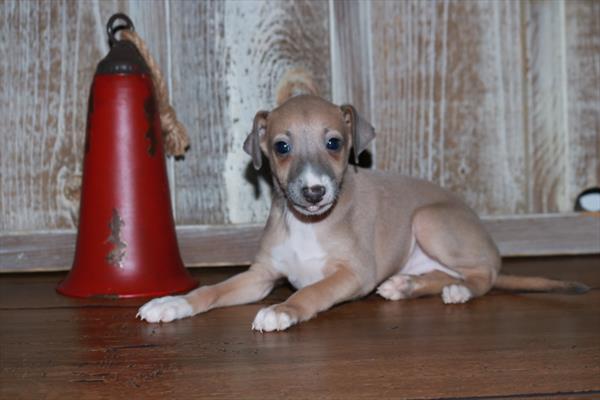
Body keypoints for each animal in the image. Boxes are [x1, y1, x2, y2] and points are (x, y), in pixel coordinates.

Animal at [137, 94, 592, 332]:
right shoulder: (260, 275)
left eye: (334, 142)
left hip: (429, 221)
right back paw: (407, 285)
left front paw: (283, 310)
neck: (308, 224)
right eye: (281, 146)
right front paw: (173, 304)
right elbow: (211, 290)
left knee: (483, 277)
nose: (315, 192)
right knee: (444, 275)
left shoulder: (354, 274)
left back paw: (458, 290)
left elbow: (311, 291)